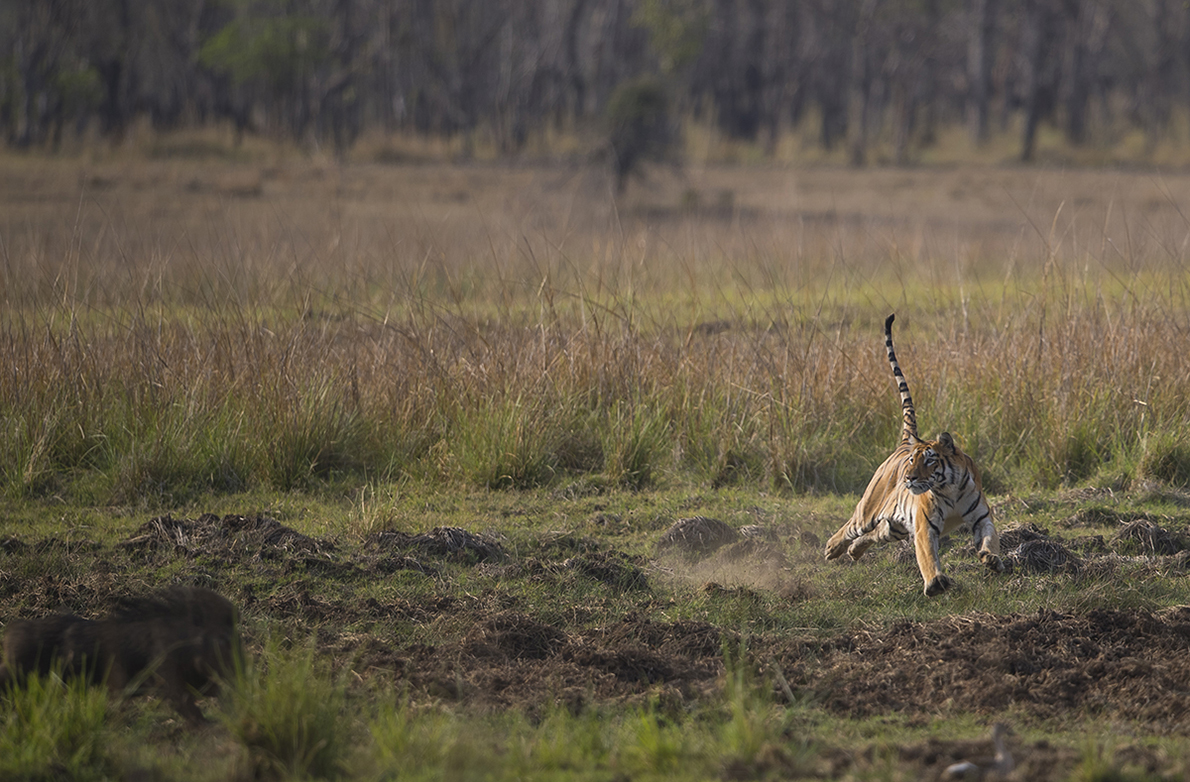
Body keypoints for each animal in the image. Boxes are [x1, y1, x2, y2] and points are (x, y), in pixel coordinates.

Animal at [828, 314, 1004, 595]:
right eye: (913, 461)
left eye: (929, 461)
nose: (909, 478)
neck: (950, 489)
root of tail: (905, 442)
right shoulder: (924, 528)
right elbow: (927, 557)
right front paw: (935, 583)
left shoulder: (981, 517)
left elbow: (989, 539)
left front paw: (992, 560)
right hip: (869, 510)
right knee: (850, 526)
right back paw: (831, 549)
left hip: (896, 526)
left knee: (875, 533)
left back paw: (854, 552)